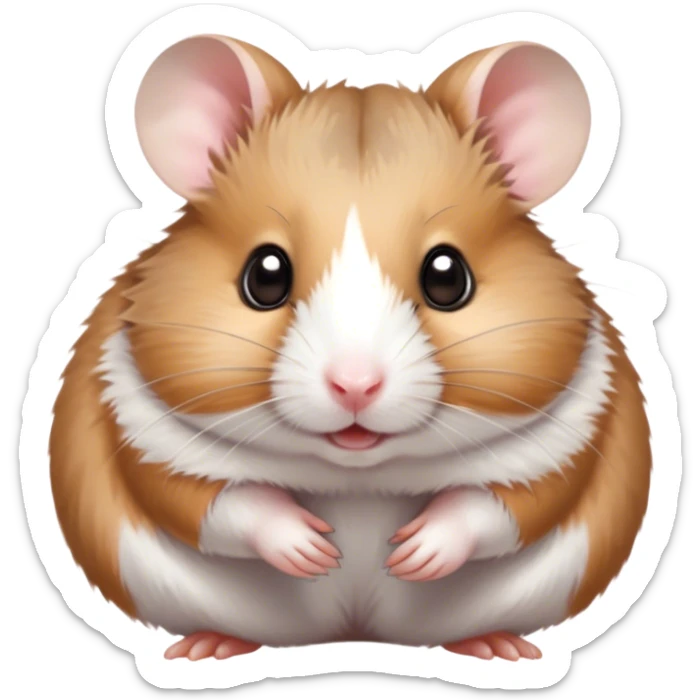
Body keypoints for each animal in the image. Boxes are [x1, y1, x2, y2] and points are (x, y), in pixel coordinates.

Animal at [49, 35, 651, 662]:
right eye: (264, 275)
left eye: (447, 276)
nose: (355, 387)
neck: (358, 475)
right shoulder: (142, 434)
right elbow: (215, 499)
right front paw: (316, 550)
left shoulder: (569, 441)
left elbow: (504, 504)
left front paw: (410, 554)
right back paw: (207, 648)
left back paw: (497, 648)